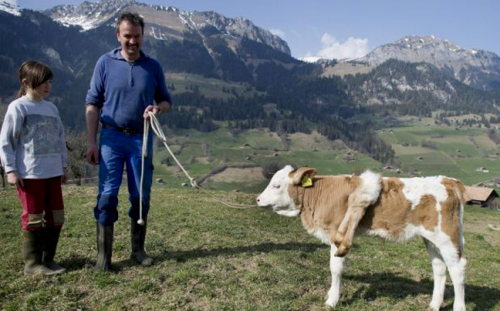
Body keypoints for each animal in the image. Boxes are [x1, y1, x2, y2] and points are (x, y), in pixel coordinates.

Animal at [256, 165, 466, 310]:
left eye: (277, 185)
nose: (258, 199)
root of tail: (448, 181)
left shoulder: (337, 234)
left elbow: (335, 268)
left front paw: (332, 300)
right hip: (431, 239)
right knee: (439, 267)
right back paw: (434, 304)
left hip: (447, 237)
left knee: (457, 269)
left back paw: (458, 306)